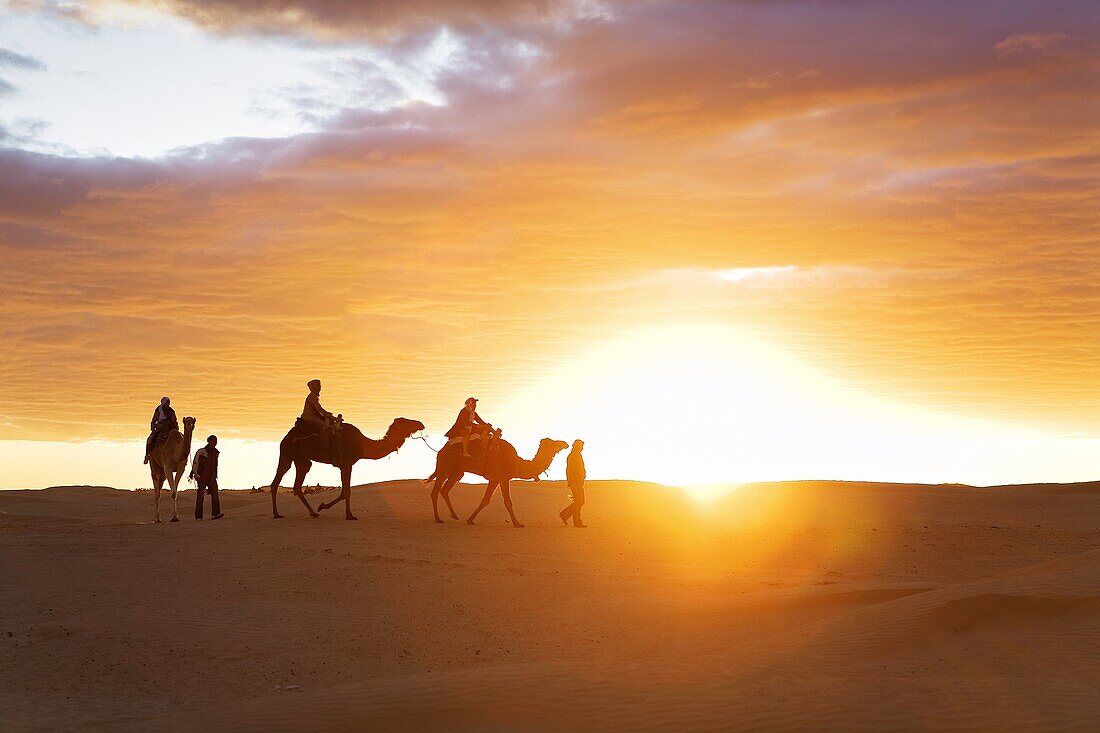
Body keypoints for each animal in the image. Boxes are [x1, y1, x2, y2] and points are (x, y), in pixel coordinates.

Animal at [267, 413, 424, 517]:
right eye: (407, 422)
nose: (420, 424)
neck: (362, 444)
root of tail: (286, 437)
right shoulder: (346, 464)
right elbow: (346, 491)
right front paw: (349, 515)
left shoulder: (346, 465)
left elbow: (344, 491)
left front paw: (323, 507)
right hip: (287, 453)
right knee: (278, 481)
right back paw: (276, 513)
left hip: (301, 459)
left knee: (297, 484)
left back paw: (312, 513)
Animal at [426, 433, 572, 526]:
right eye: (553, 443)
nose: (565, 443)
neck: (516, 463)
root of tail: (441, 450)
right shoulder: (503, 478)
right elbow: (508, 502)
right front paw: (517, 523)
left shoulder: (494, 479)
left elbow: (485, 500)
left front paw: (470, 520)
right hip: (445, 467)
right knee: (435, 491)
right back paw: (438, 518)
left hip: (457, 471)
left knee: (445, 490)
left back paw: (454, 515)